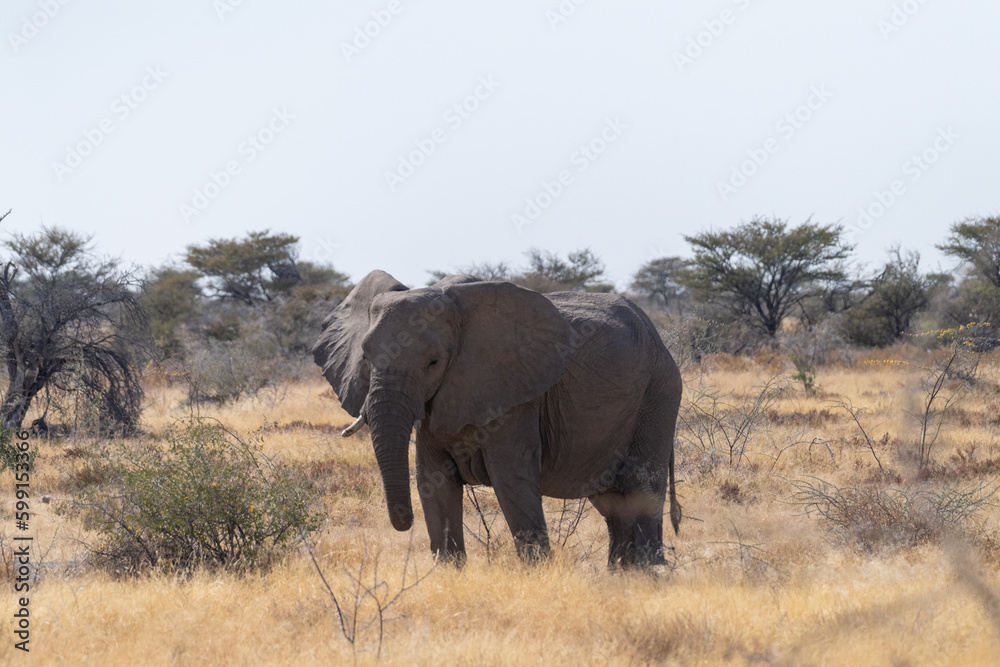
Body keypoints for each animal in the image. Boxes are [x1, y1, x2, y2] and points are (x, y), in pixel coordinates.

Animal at [316, 272, 684, 568]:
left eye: (433, 362)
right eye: (365, 357)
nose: (403, 522)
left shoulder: (515, 396)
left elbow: (511, 479)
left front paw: (537, 574)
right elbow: (433, 482)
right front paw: (449, 572)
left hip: (659, 393)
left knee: (640, 489)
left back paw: (648, 573)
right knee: (611, 501)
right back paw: (621, 573)